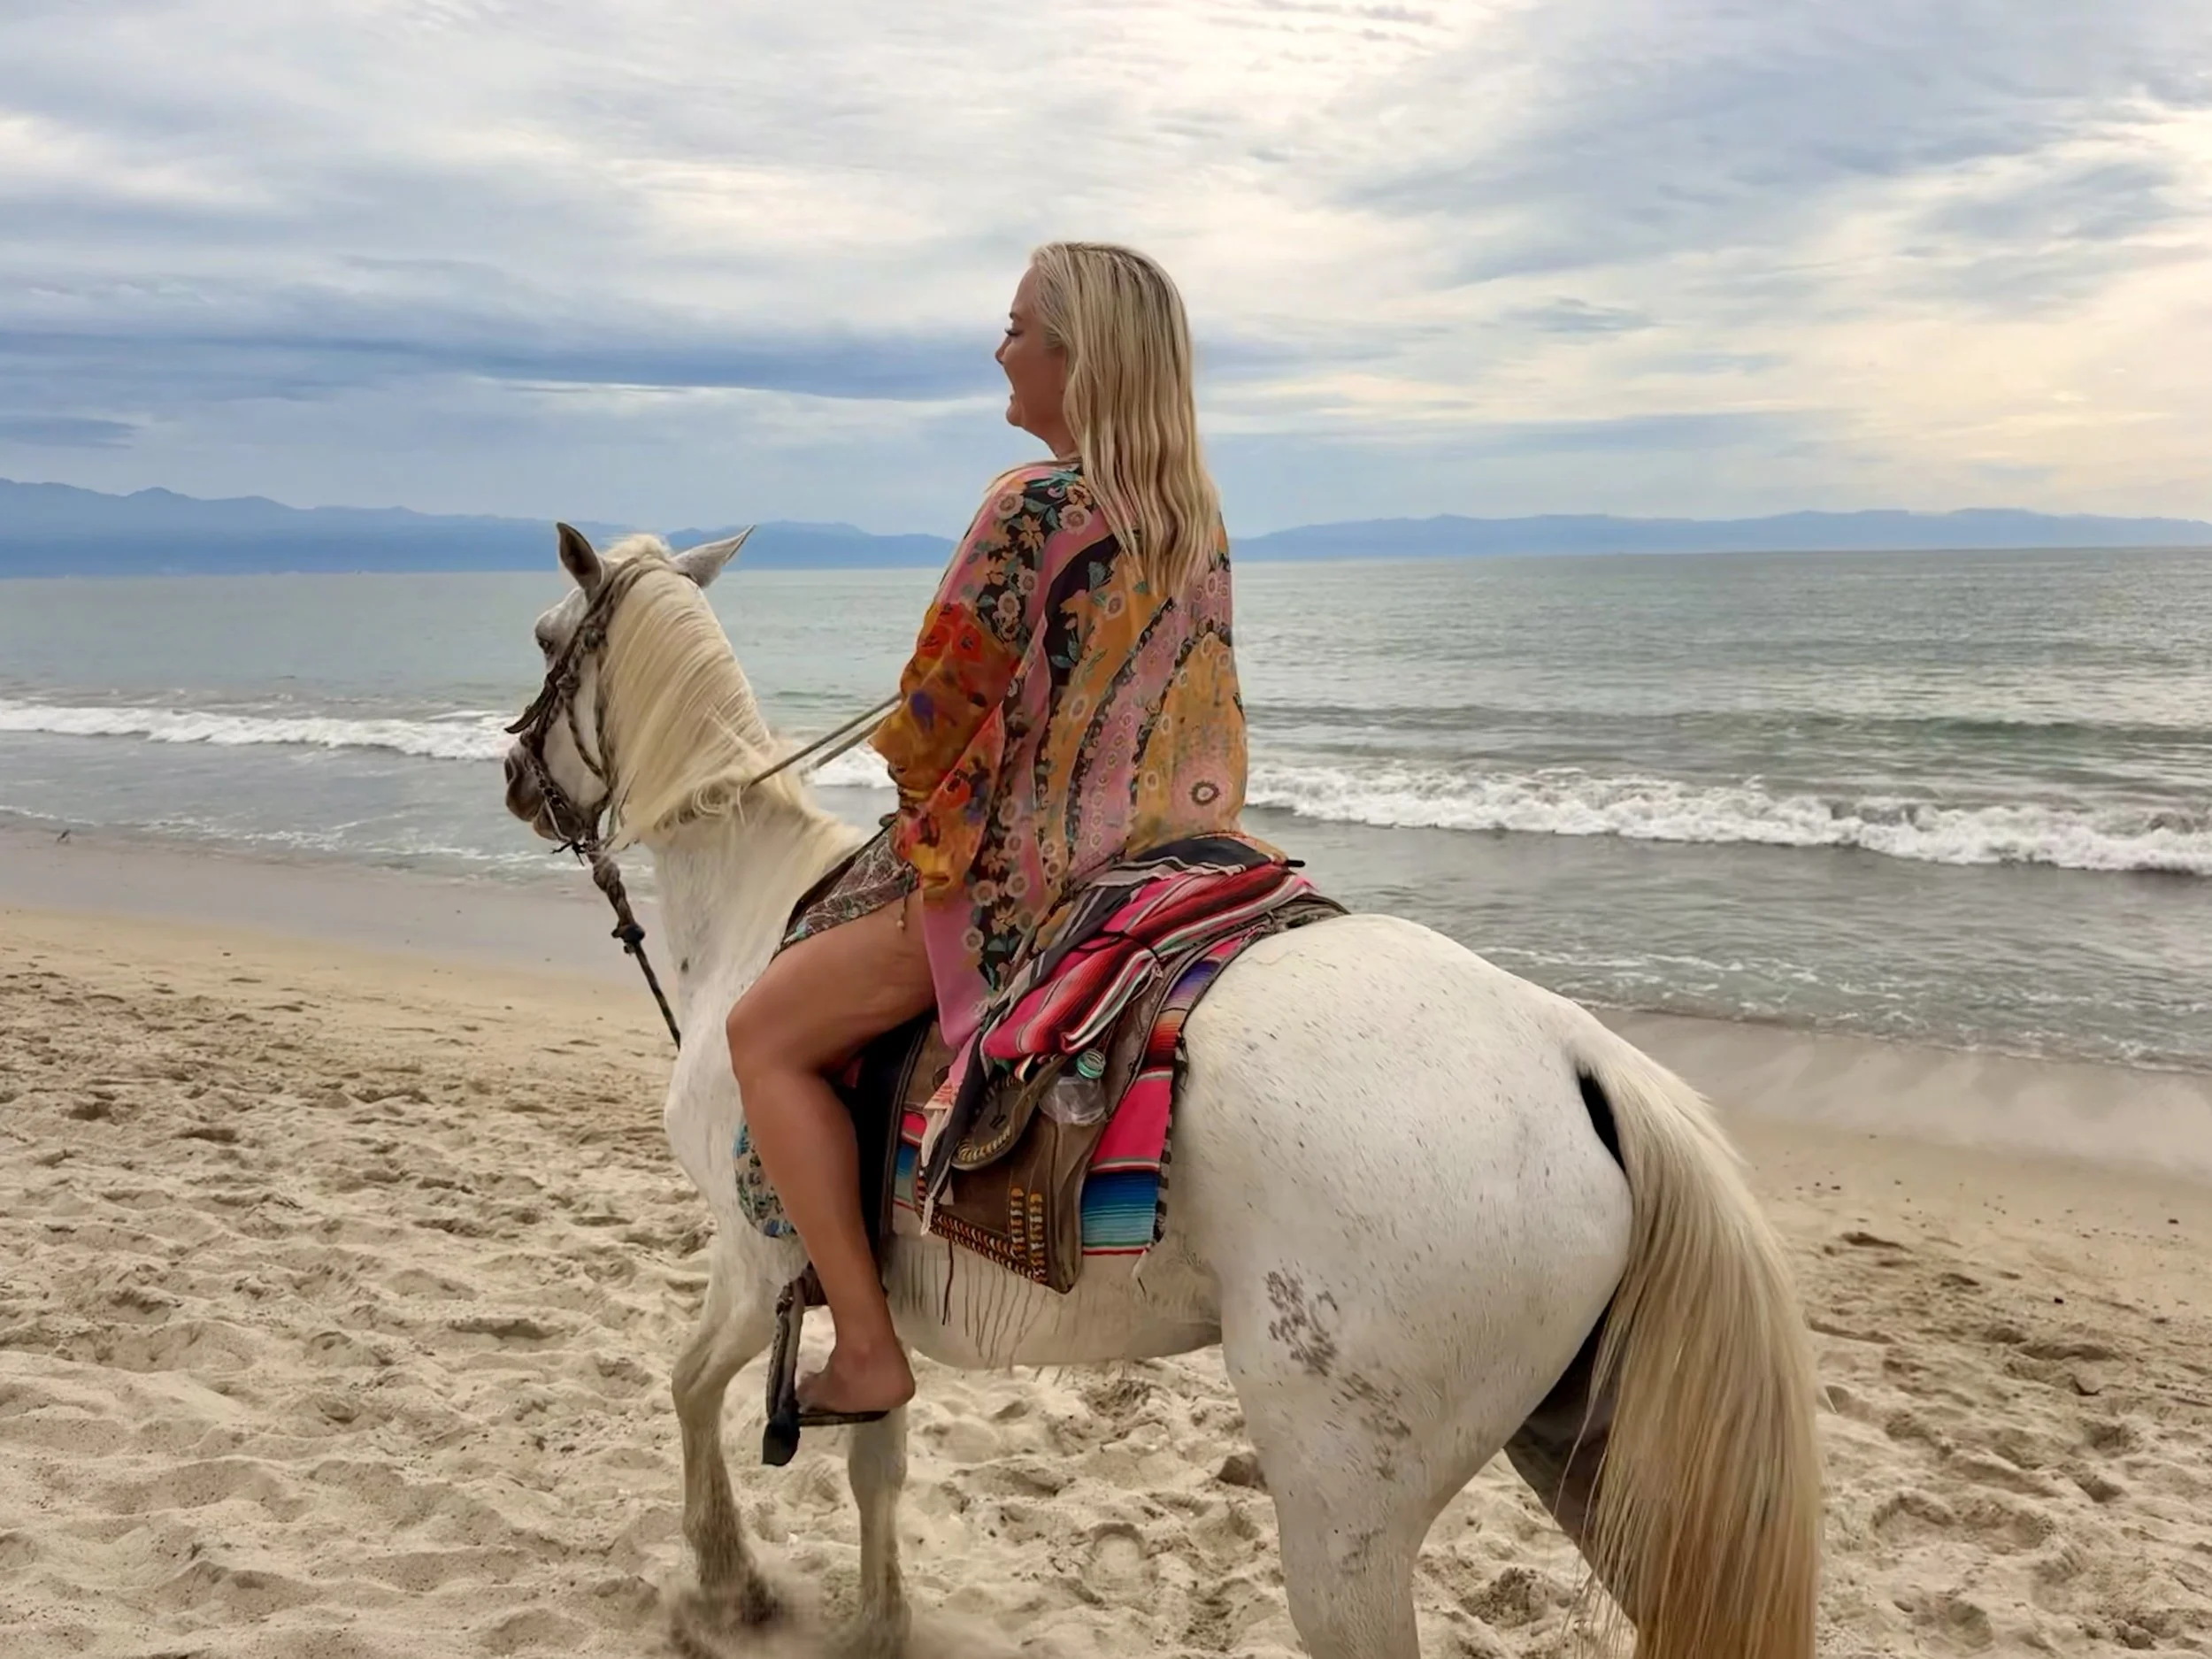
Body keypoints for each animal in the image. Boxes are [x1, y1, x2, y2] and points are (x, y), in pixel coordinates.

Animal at [499, 525, 1823, 1659]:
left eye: (546, 630)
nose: (514, 770)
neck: (757, 903)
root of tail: (1575, 1055)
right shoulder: (857, 1287)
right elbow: (878, 1455)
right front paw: (876, 1620)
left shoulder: (761, 1252)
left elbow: (689, 1383)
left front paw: (730, 1583)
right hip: (1589, 1456)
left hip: (1347, 1507)